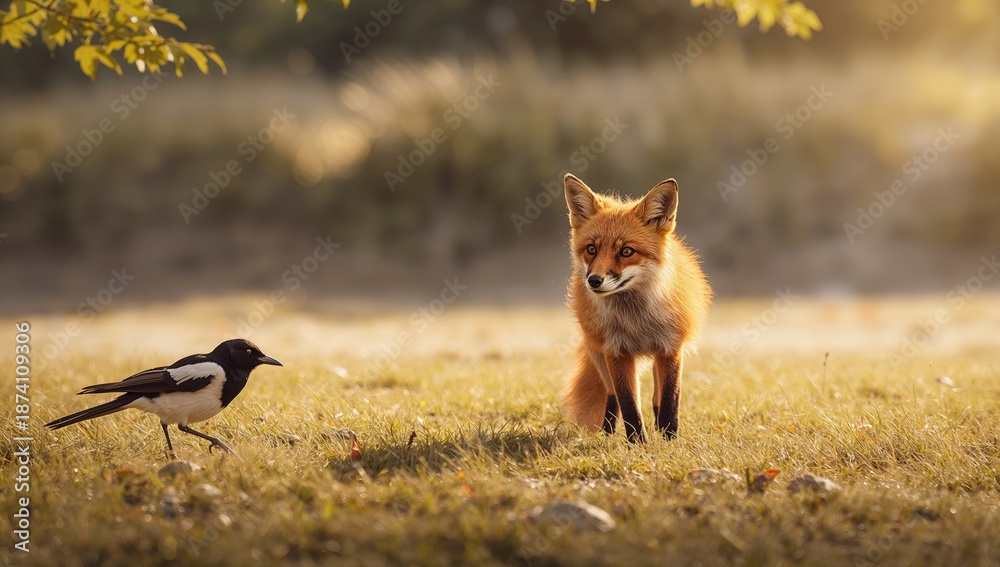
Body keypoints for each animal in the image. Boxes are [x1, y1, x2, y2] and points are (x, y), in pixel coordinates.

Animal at [562, 173, 712, 443]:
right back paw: (608, 433)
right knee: (611, 395)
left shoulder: (671, 349)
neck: (637, 322)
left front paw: (669, 439)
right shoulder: (616, 352)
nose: (594, 281)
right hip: (597, 352)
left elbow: (670, 400)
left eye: (626, 251)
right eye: (591, 249)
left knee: (656, 396)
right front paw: (638, 444)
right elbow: (629, 405)